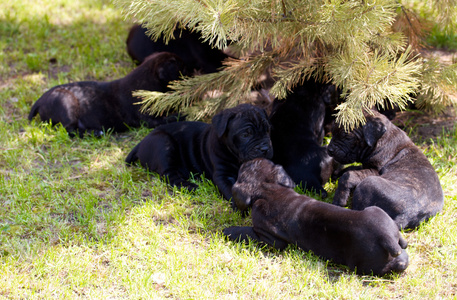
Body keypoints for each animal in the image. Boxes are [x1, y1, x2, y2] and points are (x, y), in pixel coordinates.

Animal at [28, 52, 186, 137]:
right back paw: (96, 133)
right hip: (66, 101)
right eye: (183, 69)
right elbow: (169, 118)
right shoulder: (148, 119)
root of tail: (39, 101)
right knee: (70, 130)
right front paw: (182, 114)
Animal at [125, 102, 270, 204]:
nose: (265, 148)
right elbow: (230, 190)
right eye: (245, 134)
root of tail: (141, 143)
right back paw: (190, 186)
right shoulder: (222, 175)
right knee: (169, 175)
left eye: (267, 130)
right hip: (163, 143)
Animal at [224, 158, 410, 276]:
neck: (269, 189)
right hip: (378, 213)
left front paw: (228, 230)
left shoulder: (268, 237)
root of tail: (387, 238)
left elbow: (245, 232)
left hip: (364, 265)